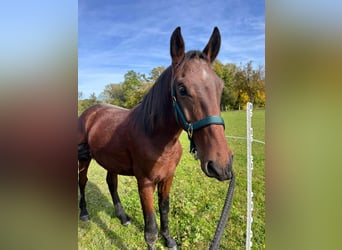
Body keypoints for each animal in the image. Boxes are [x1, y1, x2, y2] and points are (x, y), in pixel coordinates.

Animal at [78, 27, 234, 250]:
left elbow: (165, 209)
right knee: (82, 182)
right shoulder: (145, 183)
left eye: (220, 87)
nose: (222, 165)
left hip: (110, 161)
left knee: (111, 183)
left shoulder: (167, 178)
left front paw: (168, 239)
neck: (155, 137)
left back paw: (122, 216)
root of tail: (89, 112)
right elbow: (150, 230)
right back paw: (84, 213)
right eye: (182, 88)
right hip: (84, 159)